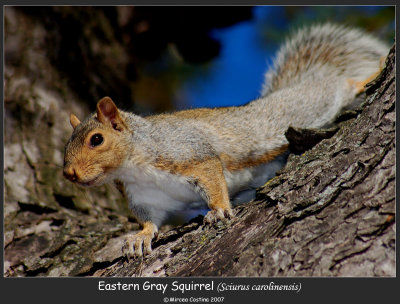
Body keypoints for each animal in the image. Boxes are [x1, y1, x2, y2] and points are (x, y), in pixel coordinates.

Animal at [63, 23, 388, 258]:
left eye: (96, 139)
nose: (69, 173)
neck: (134, 165)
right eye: (66, 146)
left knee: (339, 86)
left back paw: (366, 80)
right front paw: (140, 237)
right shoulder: (144, 196)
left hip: (311, 104)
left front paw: (218, 210)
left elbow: (213, 179)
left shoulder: (189, 153)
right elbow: (150, 220)